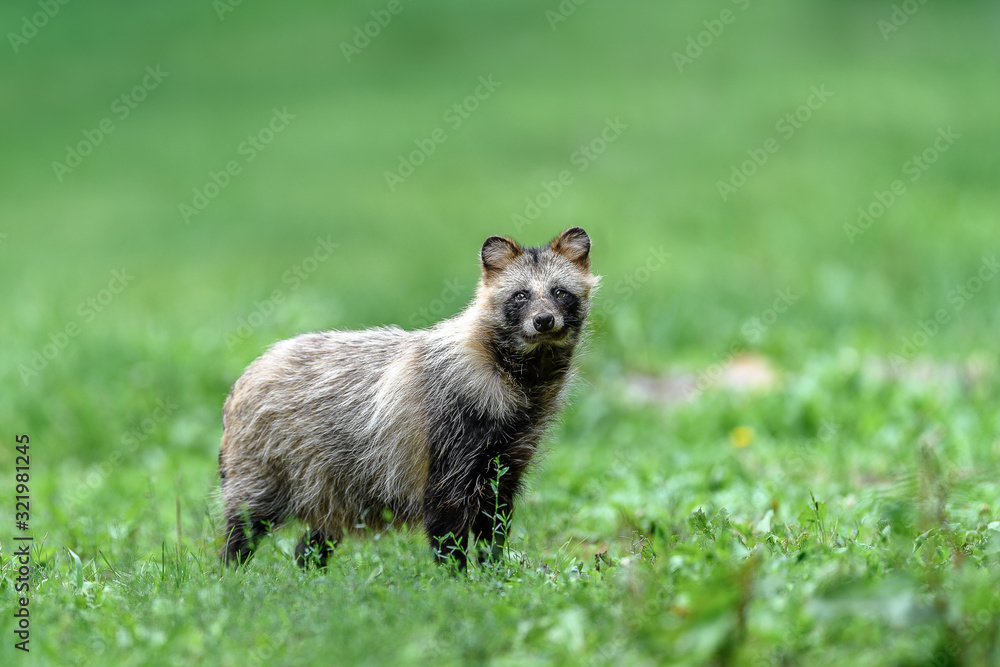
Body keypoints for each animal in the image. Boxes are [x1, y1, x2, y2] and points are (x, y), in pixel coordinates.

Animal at [218, 227, 597, 569]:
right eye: (520, 295)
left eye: (560, 292)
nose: (544, 320)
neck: (517, 374)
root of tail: (248, 373)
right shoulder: (447, 432)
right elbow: (445, 515)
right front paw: (456, 577)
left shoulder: (511, 449)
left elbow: (495, 519)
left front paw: (494, 571)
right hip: (269, 458)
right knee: (248, 517)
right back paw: (231, 570)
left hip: (334, 479)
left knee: (321, 530)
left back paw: (310, 570)